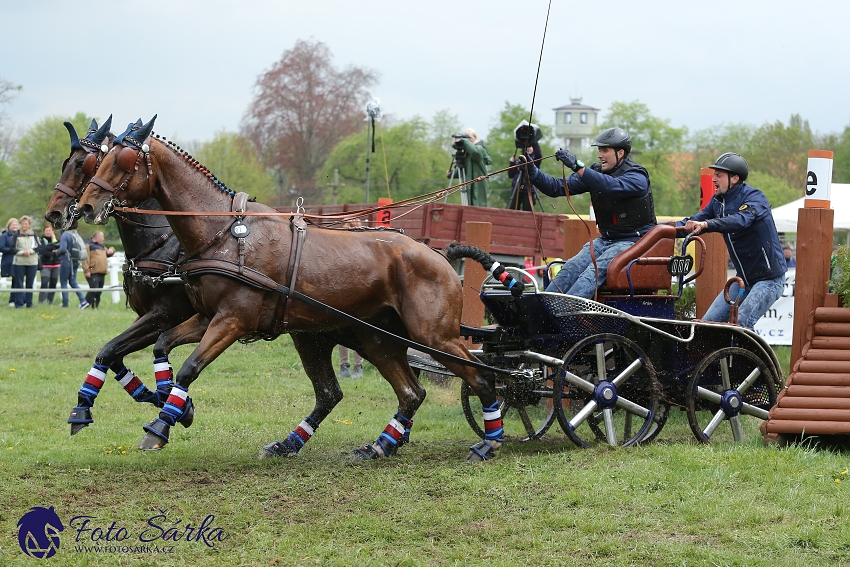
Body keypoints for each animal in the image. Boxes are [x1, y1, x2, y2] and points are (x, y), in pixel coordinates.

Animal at [45, 118, 200, 434]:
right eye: (67, 163)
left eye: (82, 165)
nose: (53, 213)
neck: (160, 243)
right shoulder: (149, 318)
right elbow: (112, 353)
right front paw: (167, 400)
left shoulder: (164, 315)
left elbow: (112, 349)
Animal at [78, 115, 504, 462]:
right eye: (95, 162)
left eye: (123, 161)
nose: (83, 207)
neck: (223, 234)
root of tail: (438, 255)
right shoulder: (205, 317)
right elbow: (162, 346)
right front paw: (169, 407)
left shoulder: (232, 320)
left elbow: (187, 368)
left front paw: (161, 424)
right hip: (371, 338)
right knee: (403, 392)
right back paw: (374, 445)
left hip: (433, 335)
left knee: (481, 377)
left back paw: (489, 442)